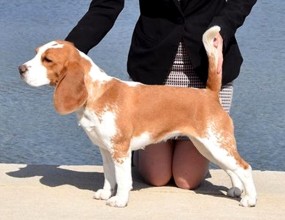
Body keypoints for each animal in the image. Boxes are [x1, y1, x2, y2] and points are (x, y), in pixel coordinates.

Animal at [19, 26, 255, 207]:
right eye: (36, 52)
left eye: (47, 59)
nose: (21, 69)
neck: (97, 92)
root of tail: (209, 93)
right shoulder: (105, 150)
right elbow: (109, 175)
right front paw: (106, 193)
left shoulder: (120, 150)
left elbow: (123, 179)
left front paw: (119, 201)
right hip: (206, 147)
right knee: (232, 168)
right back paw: (236, 190)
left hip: (216, 144)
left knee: (244, 167)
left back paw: (249, 199)